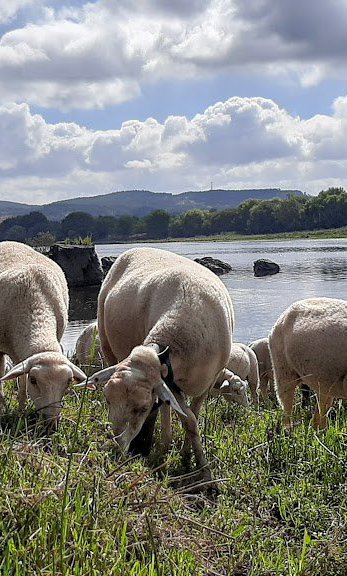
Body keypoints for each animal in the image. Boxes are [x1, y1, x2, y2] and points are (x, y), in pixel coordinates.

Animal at [0, 241, 86, 426]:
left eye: (69, 381)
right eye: (34, 380)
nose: (51, 424)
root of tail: (10, 242)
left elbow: (22, 385)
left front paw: (21, 410)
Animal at [83, 246, 238, 482]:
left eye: (142, 408)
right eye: (107, 400)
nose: (115, 447)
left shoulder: (207, 381)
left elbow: (192, 419)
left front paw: (199, 466)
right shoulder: (170, 382)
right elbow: (187, 419)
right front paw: (189, 461)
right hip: (107, 341)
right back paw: (161, 444)